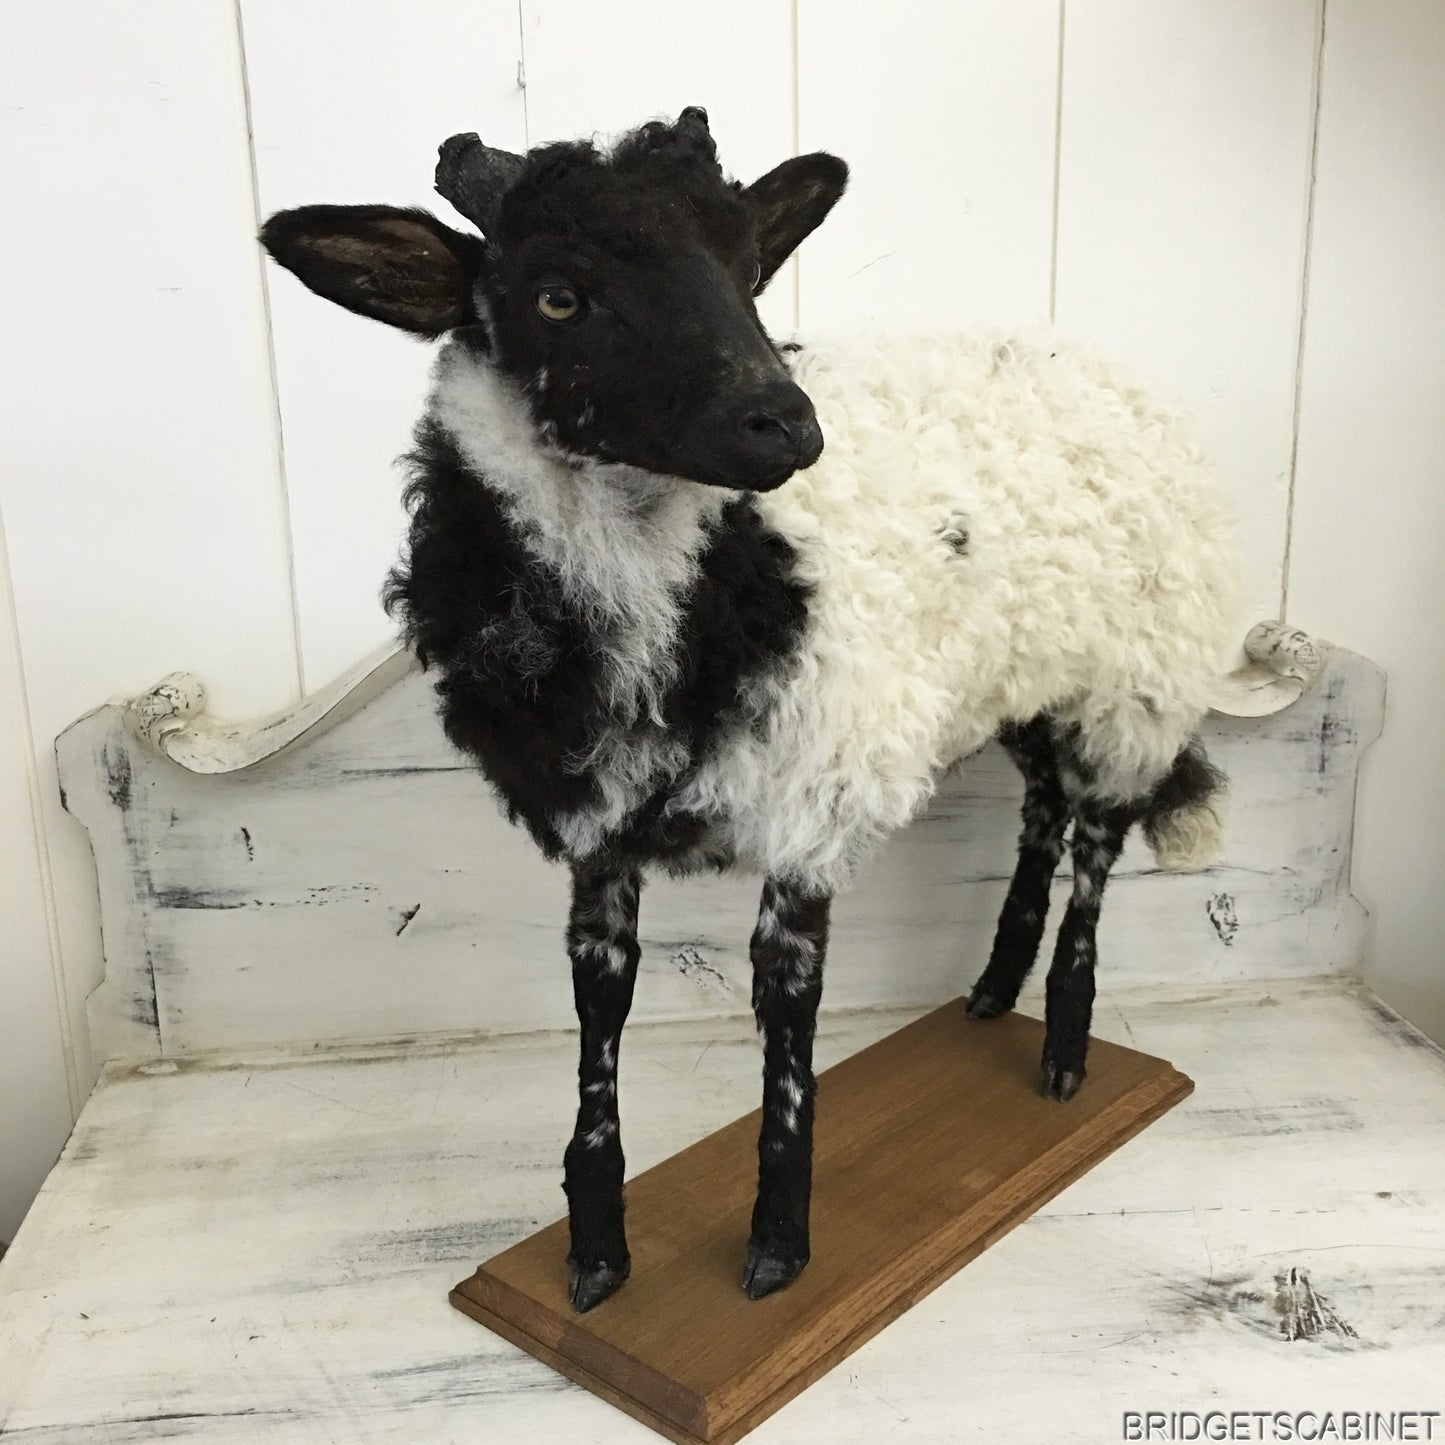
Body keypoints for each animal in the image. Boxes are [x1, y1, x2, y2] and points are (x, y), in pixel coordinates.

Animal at [260, 107, 1237, 1314]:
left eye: (747, 270)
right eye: (557, 296)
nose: (786, 428)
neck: (654, 588)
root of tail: (1097, 360)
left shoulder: (809, 806)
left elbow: (786, 1019)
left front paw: (777, 1246)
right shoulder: (599, 830)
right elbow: (599, 1011)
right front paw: (596, 1252)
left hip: (1131, 678)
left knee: (1095, 843)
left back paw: (1060, 1045)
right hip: (1026, 670)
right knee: (1040, 813)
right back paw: (990, 991)